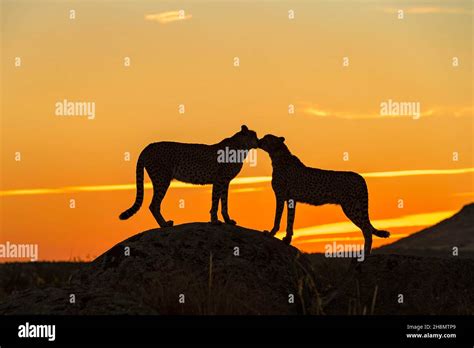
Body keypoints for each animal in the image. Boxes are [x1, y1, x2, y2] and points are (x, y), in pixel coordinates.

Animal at [120, 126, 258, 227]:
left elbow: (224, 203)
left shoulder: (225, 182)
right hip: (162, 179)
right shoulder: (219, 180)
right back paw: (164, 224)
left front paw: (228, 221)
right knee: (153, 205)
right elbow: (215, 202)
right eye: (254, 135)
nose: (259, 141)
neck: (241, 147)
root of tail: (149, 146)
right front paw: (214, 221)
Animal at [258, 135, 390, 256]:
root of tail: (360, 176)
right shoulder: (291, 199)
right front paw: (287, 239)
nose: (259, 141)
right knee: (367, 227)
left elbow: (277, 217)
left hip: (351, 207)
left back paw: (365, 254)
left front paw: (271, 233)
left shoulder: (280, 196)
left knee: (366, 229)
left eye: (266, 138)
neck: (278, 156)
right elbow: (290, 220)